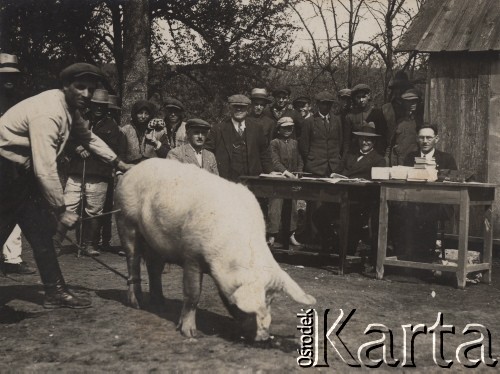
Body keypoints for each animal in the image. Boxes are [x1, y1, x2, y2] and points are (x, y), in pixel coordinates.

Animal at [115, 159, 314, 340]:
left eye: (271, 301)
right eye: (253, 306)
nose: (264, 337)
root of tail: (130, 171)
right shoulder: (191, 254)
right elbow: (193, 294)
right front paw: (189, 333)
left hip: (155, 242)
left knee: (154, 268)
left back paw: (160, 304)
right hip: (126, 220)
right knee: (133, 262)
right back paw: (137, 303)